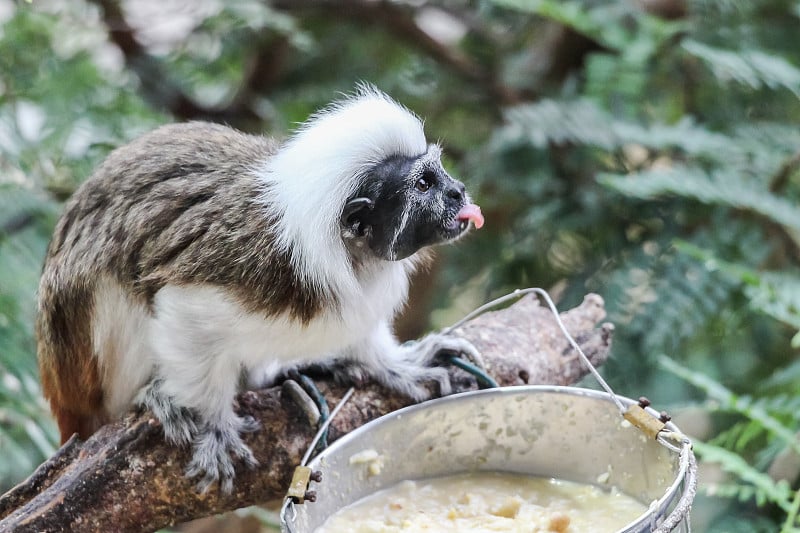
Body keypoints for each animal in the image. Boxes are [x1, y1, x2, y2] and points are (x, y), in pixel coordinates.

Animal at [36, 85, 482, 492]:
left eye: (440, 173)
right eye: (424, 185)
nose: (459, 191)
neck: (350, 254)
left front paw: (394, 364)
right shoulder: (246, 270)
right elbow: (182, 313)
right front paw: (214, 423)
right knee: (108, 282)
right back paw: (149, 396)